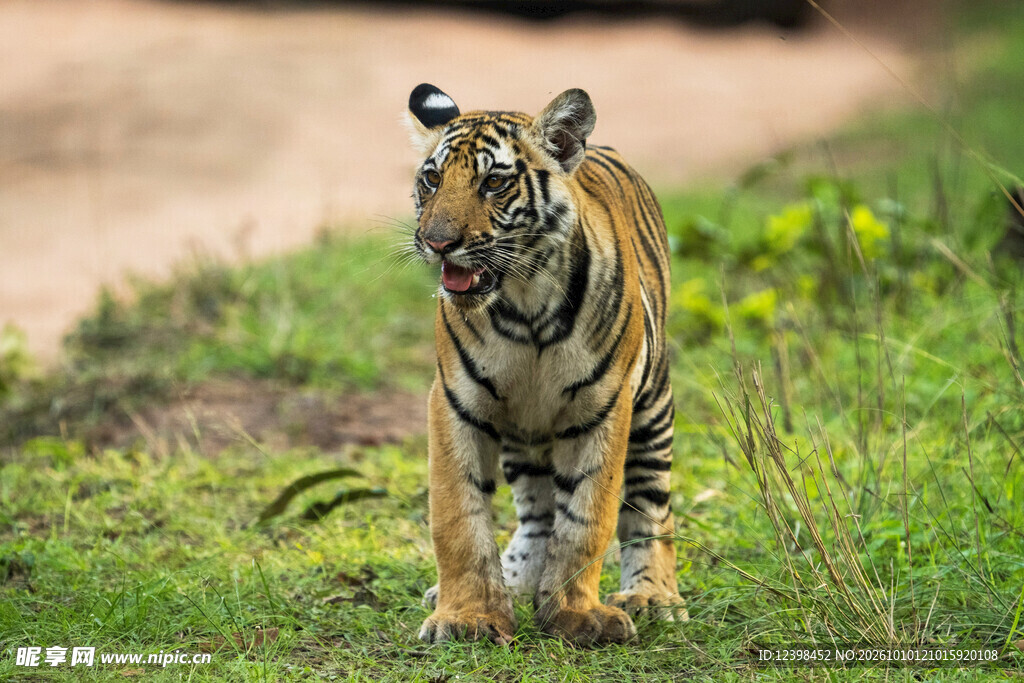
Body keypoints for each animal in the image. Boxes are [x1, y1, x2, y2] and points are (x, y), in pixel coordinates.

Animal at [406, 83, 686, 646]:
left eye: (493, 182)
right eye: (432, 179)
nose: (437, 242)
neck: (524, 302)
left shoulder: (604, 407)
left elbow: (587, 518)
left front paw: (576, 616)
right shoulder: (456, 402)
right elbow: (458, 516)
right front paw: (467, 616)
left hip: (653, 408)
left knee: (650, 508)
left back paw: (652, 596)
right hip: (522, 430)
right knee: (536, 512)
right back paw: (515, 582)